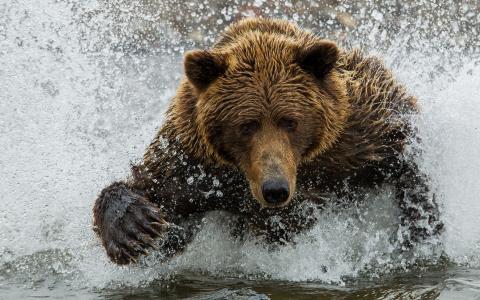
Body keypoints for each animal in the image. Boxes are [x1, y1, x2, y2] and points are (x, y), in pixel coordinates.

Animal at [93, 17, 442, 264]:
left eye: (290, 121)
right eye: (246, 125)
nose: (275, 189)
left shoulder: (359, 132)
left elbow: (405, 155)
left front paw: (418, 233)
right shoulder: (192, 164)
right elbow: (157, 195)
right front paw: (135, 227)